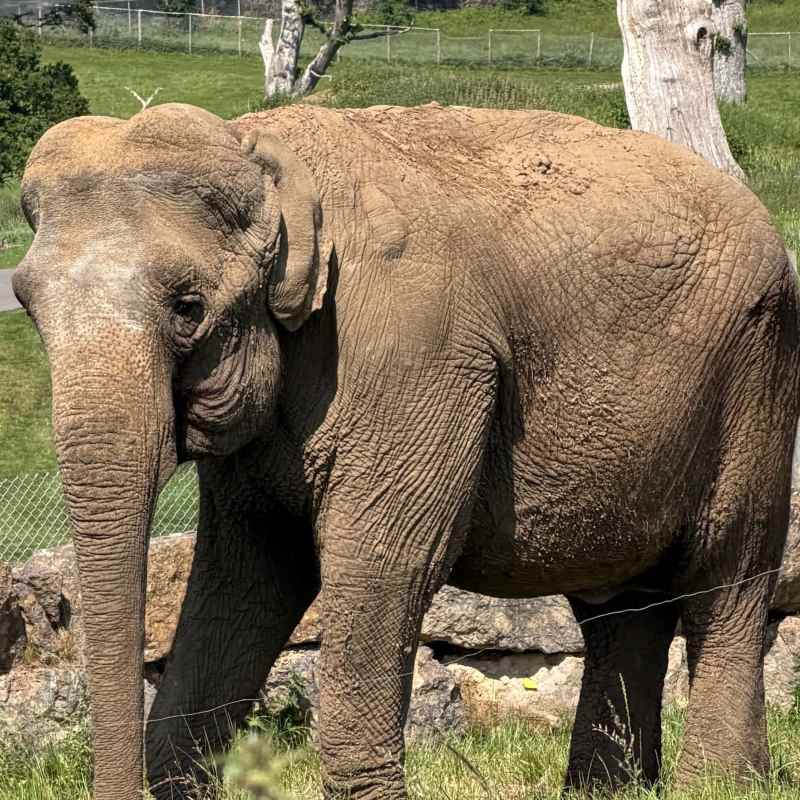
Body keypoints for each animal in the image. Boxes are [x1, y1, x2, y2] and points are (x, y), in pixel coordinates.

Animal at [12, 101, 800, 800]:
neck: (261, 150)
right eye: (26, 305)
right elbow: (248, 574)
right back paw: (611, 791)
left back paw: (719, 786)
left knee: (724, 582)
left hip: (756, 374)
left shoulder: (415, 354)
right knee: (622, 607)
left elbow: (384, 564)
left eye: (188, 307)